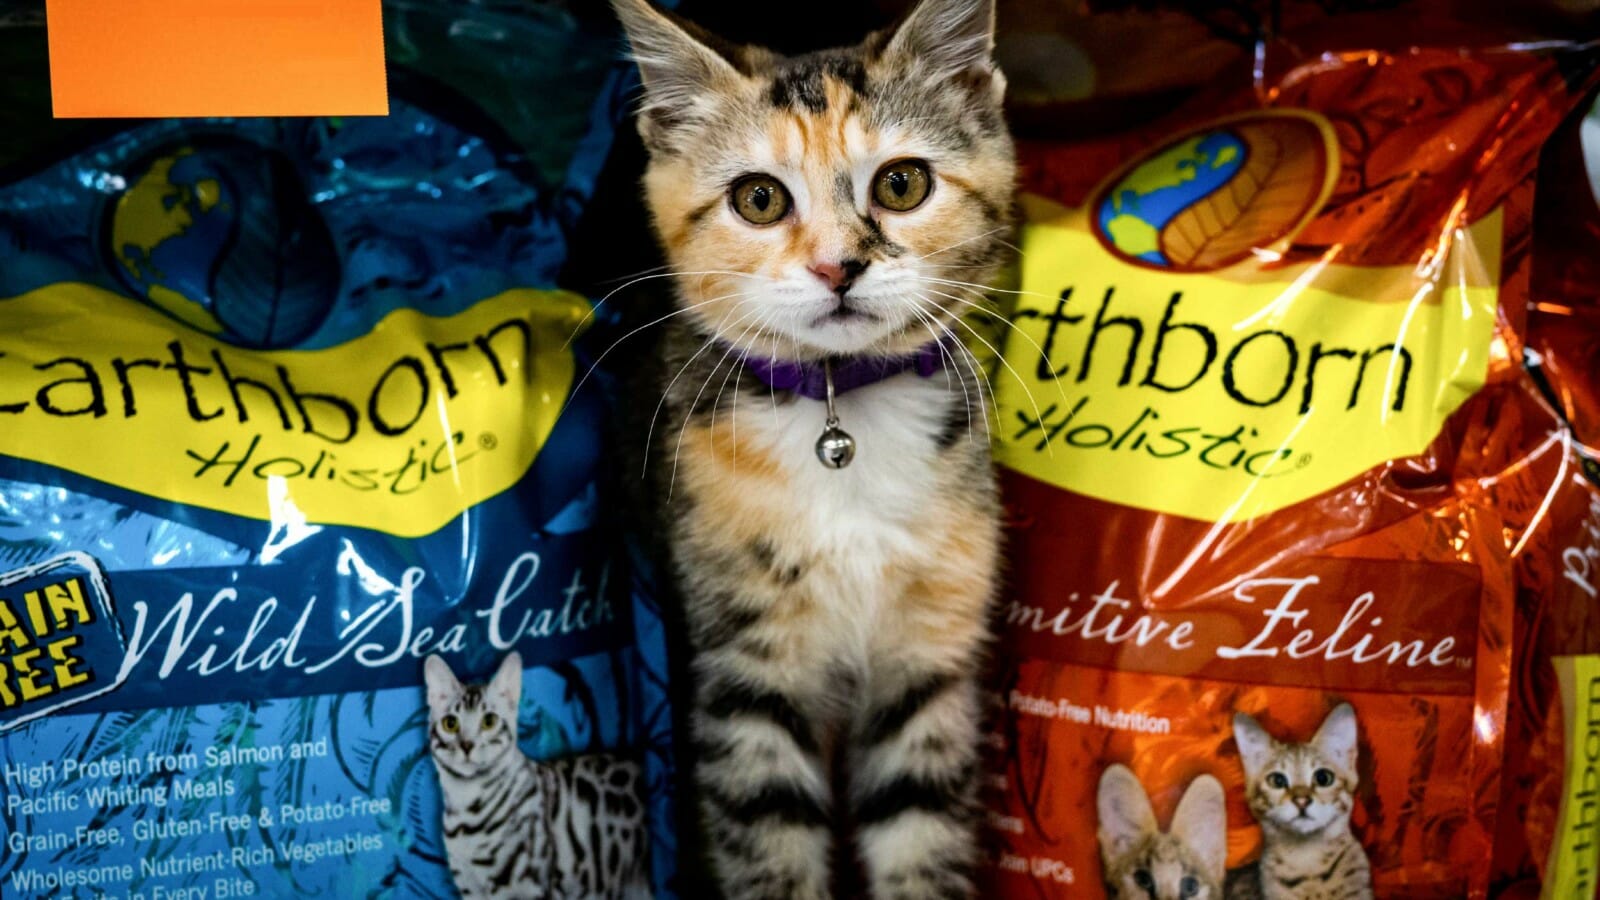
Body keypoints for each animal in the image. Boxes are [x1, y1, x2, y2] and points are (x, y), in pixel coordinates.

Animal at [428, 650, 652, 896]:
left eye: (489, 721)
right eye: (450, 723)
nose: (466, 745)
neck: (467, 808)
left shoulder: (532, 885)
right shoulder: (469, 889)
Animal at [608, 0, 1011, 890]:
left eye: (902, 184)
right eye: (758, 199)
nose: (838, 266)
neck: (839, 412)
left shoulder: (928, 664)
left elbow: (920, 833)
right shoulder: (743, 675)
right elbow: (769, 842)